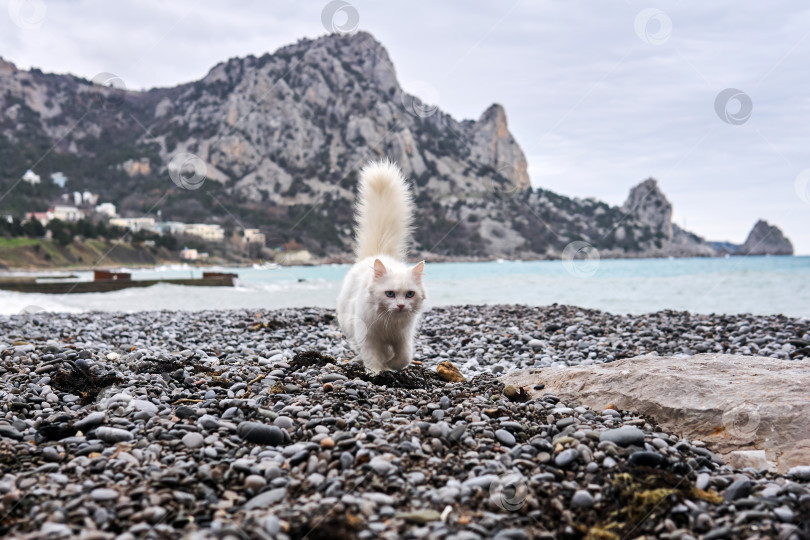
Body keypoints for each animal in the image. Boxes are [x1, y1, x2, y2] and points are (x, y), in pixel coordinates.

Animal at [334, 158, 426, 374]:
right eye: (389, 294)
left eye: (409, 294)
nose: (400, 305)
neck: (389, 324)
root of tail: (377, 254)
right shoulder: (368, 337)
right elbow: (373, 356)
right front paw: (377, 370)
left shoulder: (403, 338)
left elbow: (403, 357)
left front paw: (391, 365)